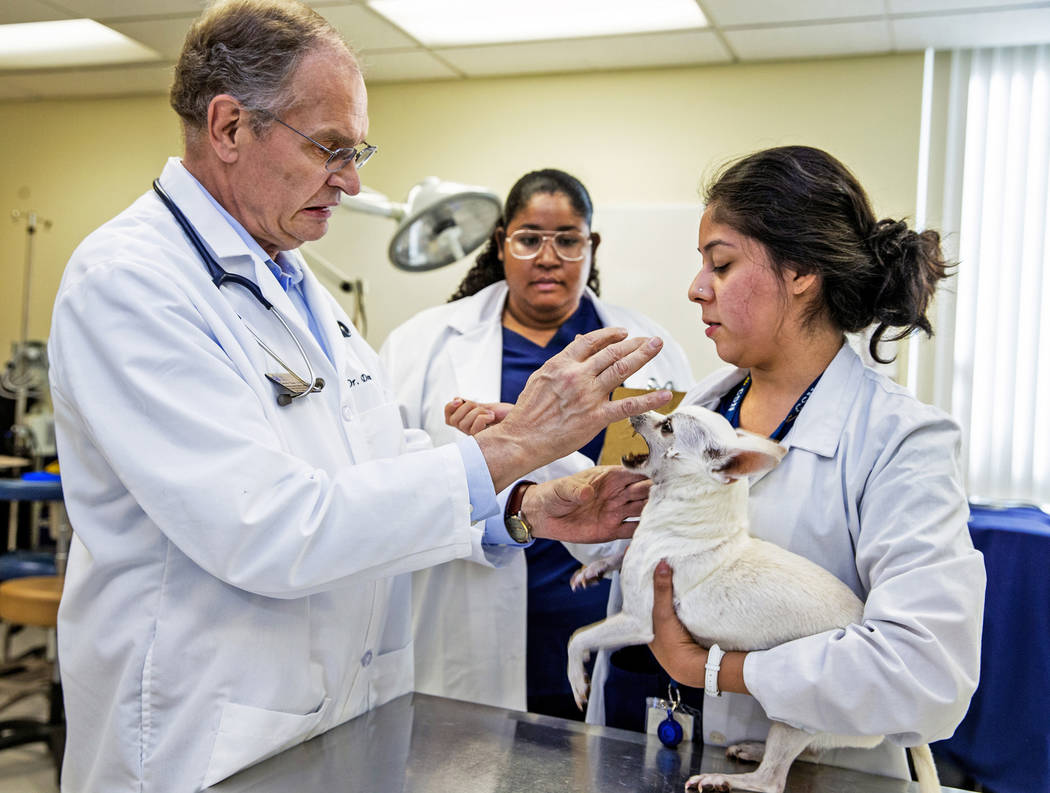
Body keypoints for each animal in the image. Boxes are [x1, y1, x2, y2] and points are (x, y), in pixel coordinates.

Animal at [571, 409, 940, 793]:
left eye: (667, 426)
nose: (637, 410)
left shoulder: (638, 621)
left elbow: (579, 637)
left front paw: (577, 680)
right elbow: (620, 553)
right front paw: (594, 568)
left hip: (796, 715)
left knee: (772, 779)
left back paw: (724, 777)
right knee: (810, 753)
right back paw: (752, 749)